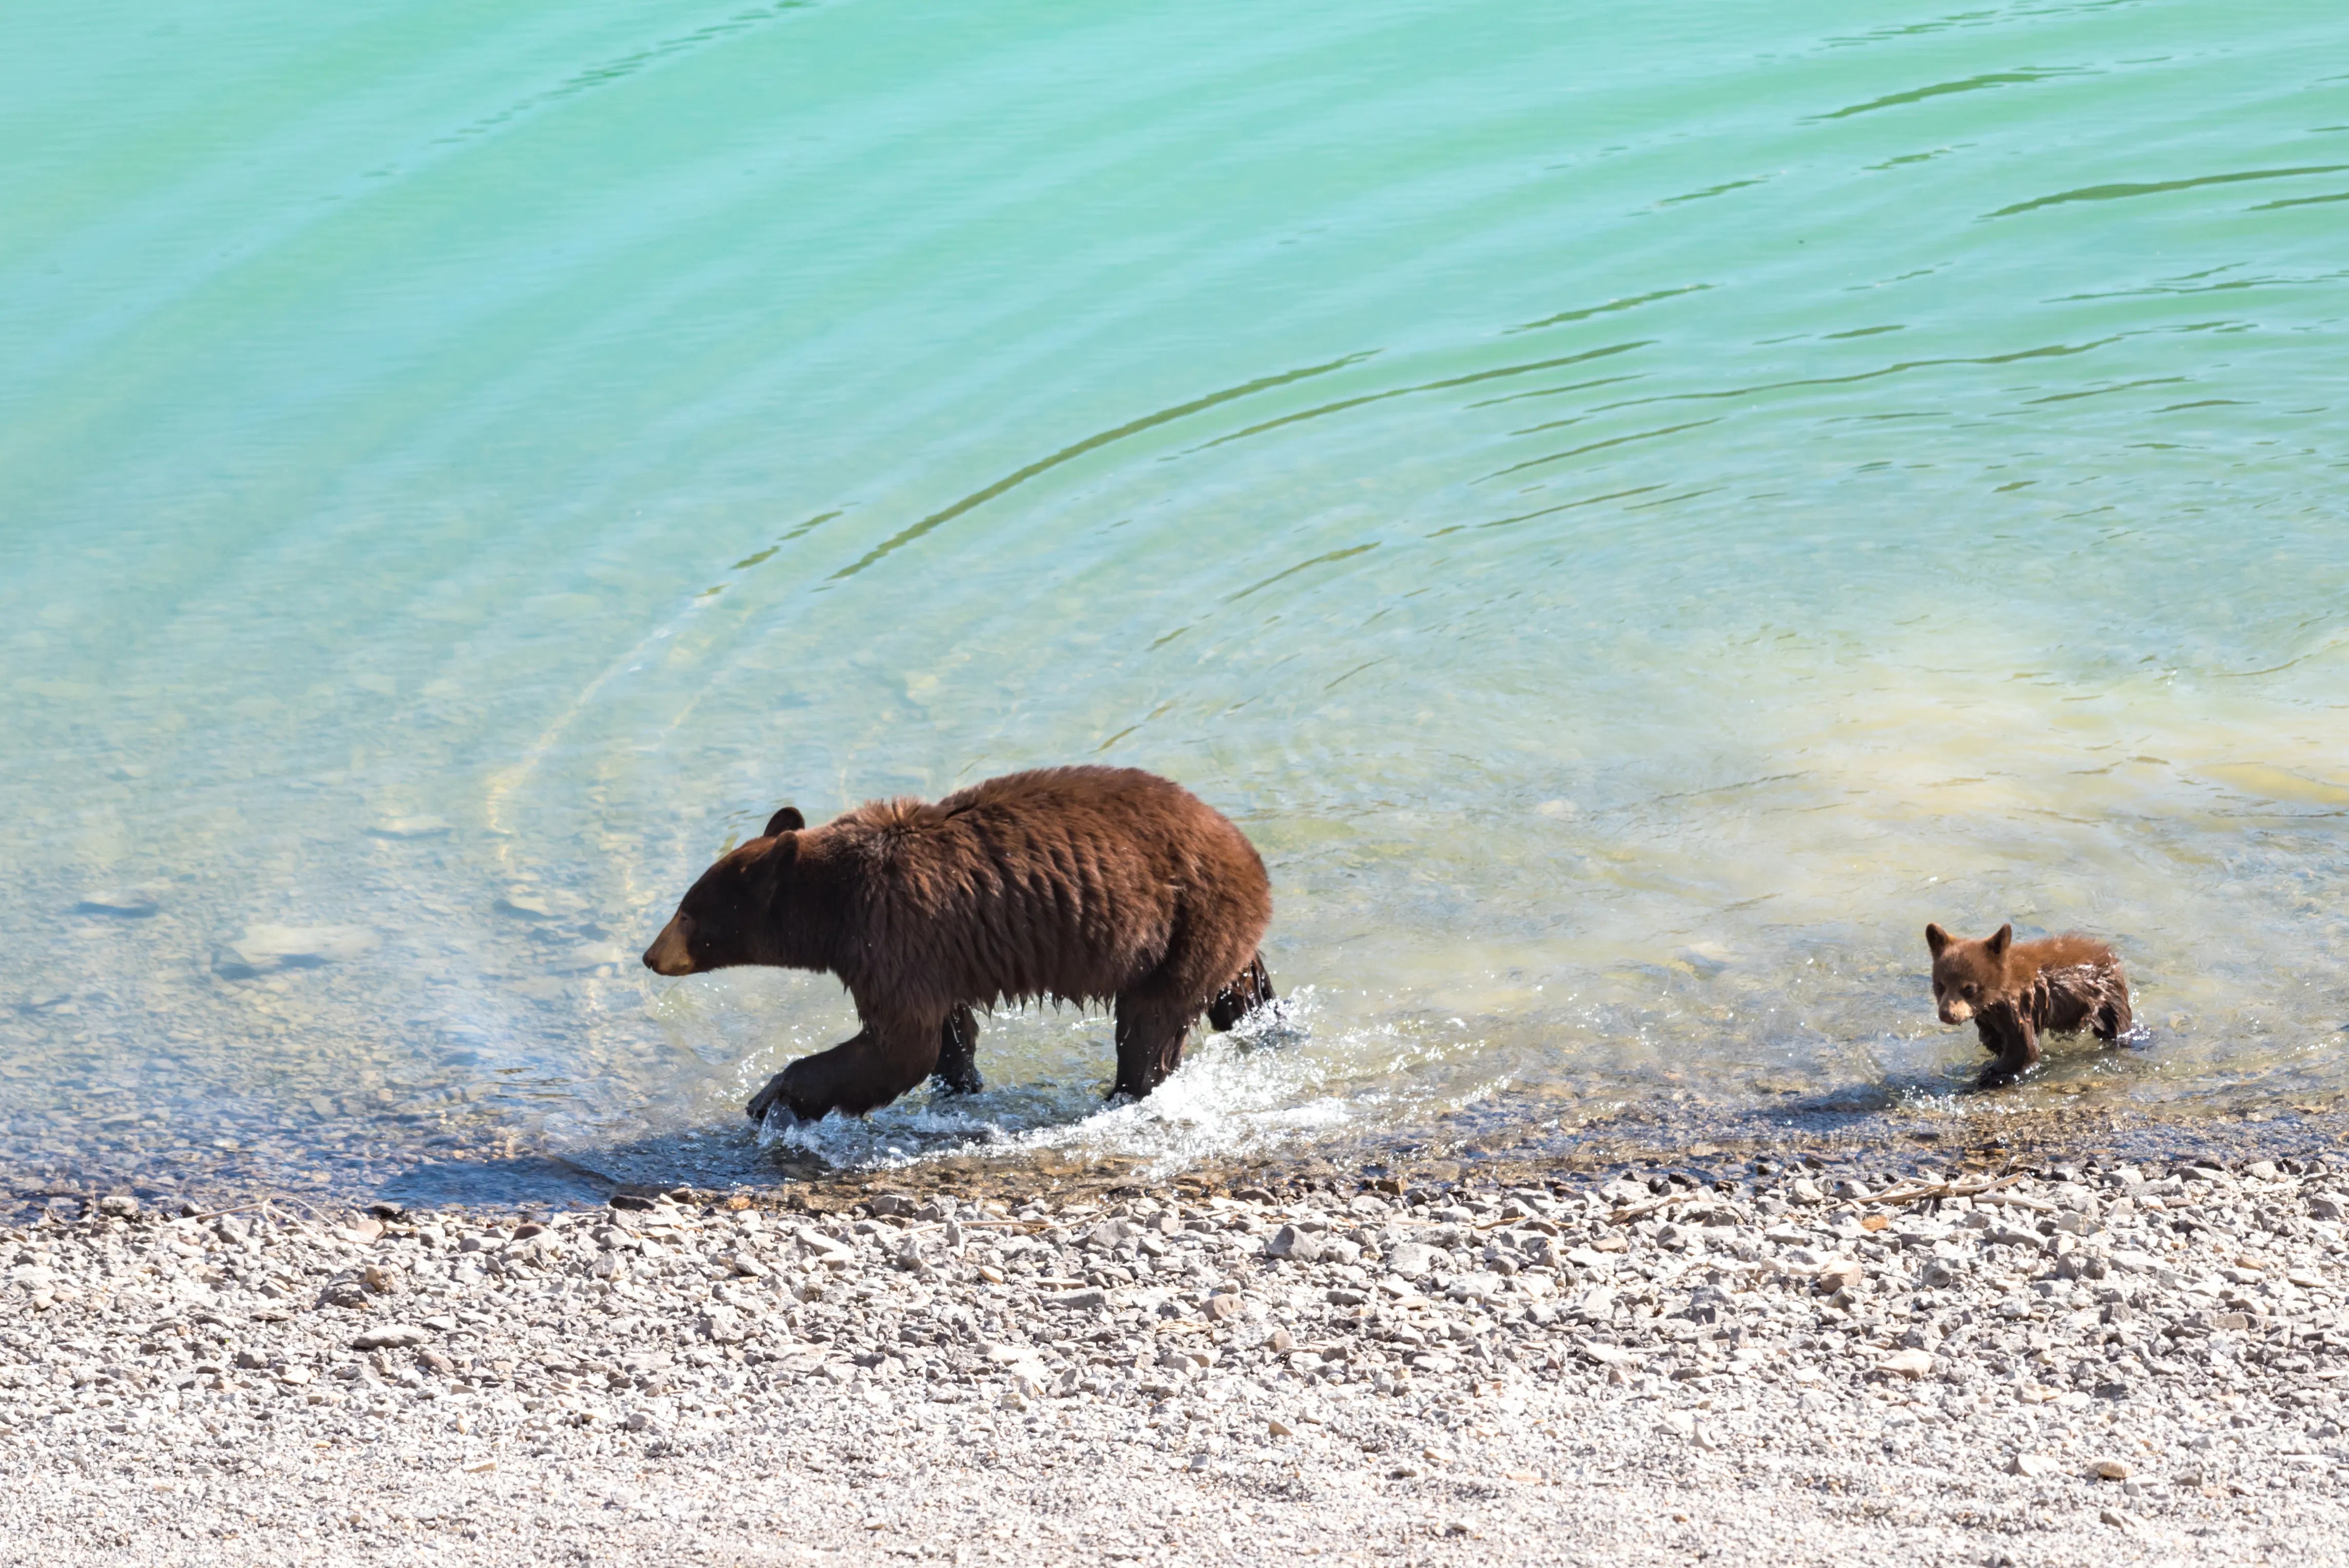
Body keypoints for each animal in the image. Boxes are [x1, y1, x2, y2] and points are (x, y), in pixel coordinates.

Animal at [642, 765, 1277, 1123]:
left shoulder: (890, 933)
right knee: (1239, 985)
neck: (833, 903)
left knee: (1149, 1027)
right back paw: (1268, 1023)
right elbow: (946, 1033)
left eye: (688, 911)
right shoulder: (930, 954)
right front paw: (959, 1088)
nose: (649, 956)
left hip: (1186, 922)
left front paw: (771, 1097)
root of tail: (1248, 850)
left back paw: (1121, 1094)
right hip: (1209, 931)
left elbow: (899, 1044)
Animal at [1925, 922, 2133, 1087]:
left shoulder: (2017, 1010)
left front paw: (1987, 1076)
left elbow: (2023, 1051)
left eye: (1969, 988)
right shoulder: (1988, 1018)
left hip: (2109, 1001)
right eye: (1940, 985)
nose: (1947, 1014)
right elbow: (1995, 1041)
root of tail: (2111, 956)